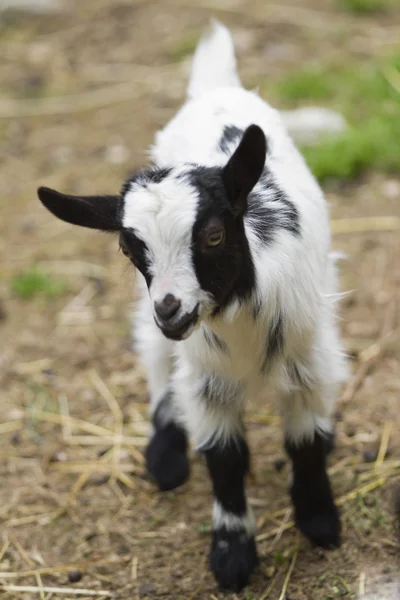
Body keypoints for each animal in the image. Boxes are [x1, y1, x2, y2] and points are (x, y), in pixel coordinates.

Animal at [37, 22, 346, 592]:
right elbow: (224, 458)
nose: (172, 308)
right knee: (154, 355)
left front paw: (319, 521)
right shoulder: (207, 378)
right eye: (127, 249)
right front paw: (232, 555)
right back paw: (164, 456)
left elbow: (306, 440)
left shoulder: (305, 360)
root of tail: (215, 87)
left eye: (214, 235)